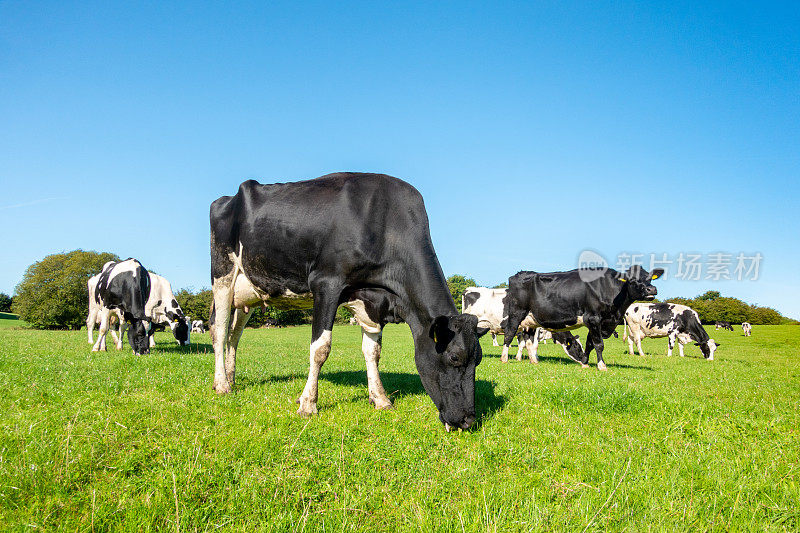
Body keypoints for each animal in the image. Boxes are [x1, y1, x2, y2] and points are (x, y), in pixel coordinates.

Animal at [209, 172, 488, 430]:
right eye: (454, 357)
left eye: (479, 360)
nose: (468, 421)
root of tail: (228, 197)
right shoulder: (326, 283)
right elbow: (320, 349)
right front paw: (308, 404)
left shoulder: (372, 304)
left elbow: (373, 352)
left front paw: (380, 398)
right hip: (222, 274)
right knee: (219, 330)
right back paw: (222, 384)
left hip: (248, 293)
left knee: (235, 335)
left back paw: (231, 378)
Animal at [504, 264, 664, 370]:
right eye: (631, 280)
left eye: (650, 278)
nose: (651, 289)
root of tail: (520, 274)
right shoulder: (593, 318)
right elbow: (599, 344)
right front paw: (602, 365)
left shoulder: (601, 322)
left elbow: (590, 343)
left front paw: (585, 362)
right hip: (516, 313)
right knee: (509, 334)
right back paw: (504, 358)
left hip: (531, 321)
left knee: (529, 340)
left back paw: (533, 361)